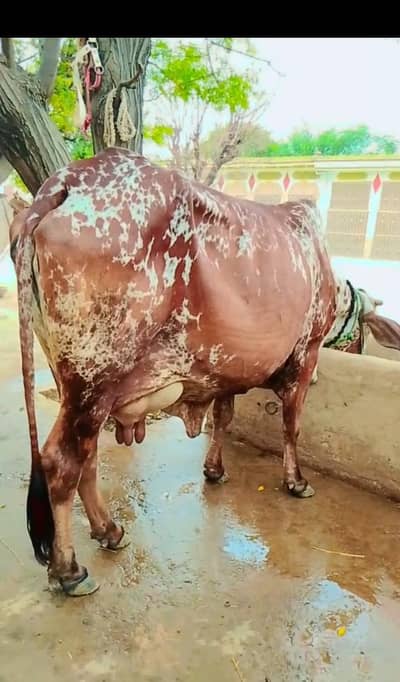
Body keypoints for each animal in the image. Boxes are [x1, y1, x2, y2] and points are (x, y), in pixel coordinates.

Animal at [11, 147, 345, 596]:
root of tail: (63, 183)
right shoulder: (307, 352)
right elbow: (292, 426)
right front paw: (297, 481)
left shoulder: (225, 370)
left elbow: (223, 416)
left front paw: (214, 470)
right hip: (92, 379)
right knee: (61, 462)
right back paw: (69, 569)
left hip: (82, 386)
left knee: (87, 457)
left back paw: (109, 530)